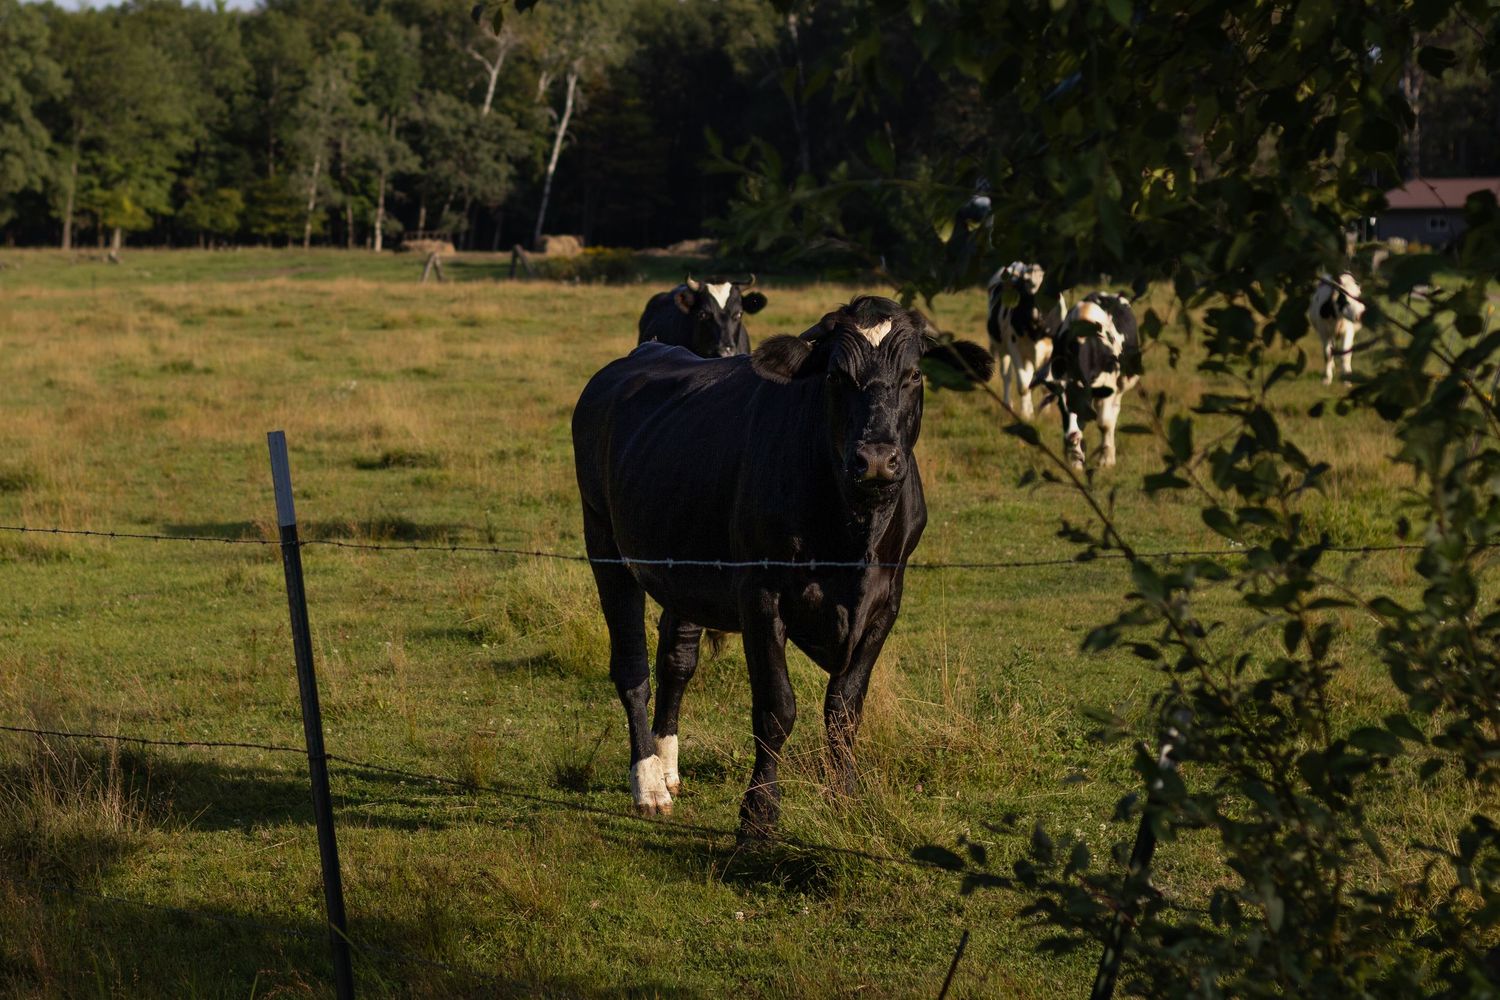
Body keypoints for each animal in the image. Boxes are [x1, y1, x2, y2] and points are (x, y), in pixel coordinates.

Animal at [572, 296, 992, 836]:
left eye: (914, 374)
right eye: (836, 375)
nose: (877, 460)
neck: (854, 534)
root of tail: (640, 355)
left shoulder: (886, 602)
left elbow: (844, 708)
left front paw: (845, 799)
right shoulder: (761, 594)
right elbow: (776, 708)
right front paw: (759, 814)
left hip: (682, 563)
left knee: (676, 661)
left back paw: (667, 768)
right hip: (604, 543)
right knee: (631, 667)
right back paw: (648, 783)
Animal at [987, 261, 1066, 420]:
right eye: (1025, 289)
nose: (1037, 315)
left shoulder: (1051, 353)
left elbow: (1045, 386)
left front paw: (1044, 413)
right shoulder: (1016, 350)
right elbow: (1023, 386)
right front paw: (1026, 414)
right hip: (1003, 349)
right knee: (1007, 376)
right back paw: (1008, 404)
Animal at [1045, 291, 1141, 469]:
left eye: (1083, 406)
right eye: (1060, 407)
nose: (1071, 437)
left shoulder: (1109, 386)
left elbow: (1104, 423)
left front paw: (1106, 459)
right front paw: (1075, 460)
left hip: (1123, 381)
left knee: (1114, 412)